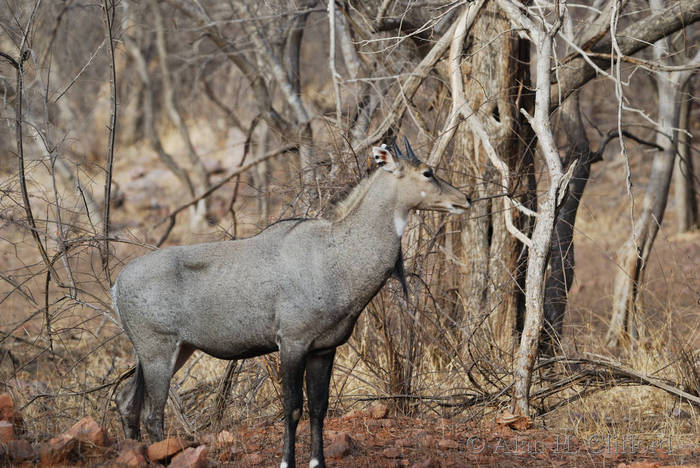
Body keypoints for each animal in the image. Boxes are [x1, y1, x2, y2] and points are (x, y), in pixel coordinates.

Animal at [115, 139, 470, 468]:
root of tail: (117, 284)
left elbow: (319, 407)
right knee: (152, 412)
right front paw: (287, 461)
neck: (337, 258)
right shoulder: (292, 342)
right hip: (158, 349)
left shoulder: (324, 348)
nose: (465, 199)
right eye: (427, 172)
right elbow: (293, 407)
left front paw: (318, 461)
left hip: (172, 350)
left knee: (127, 401)